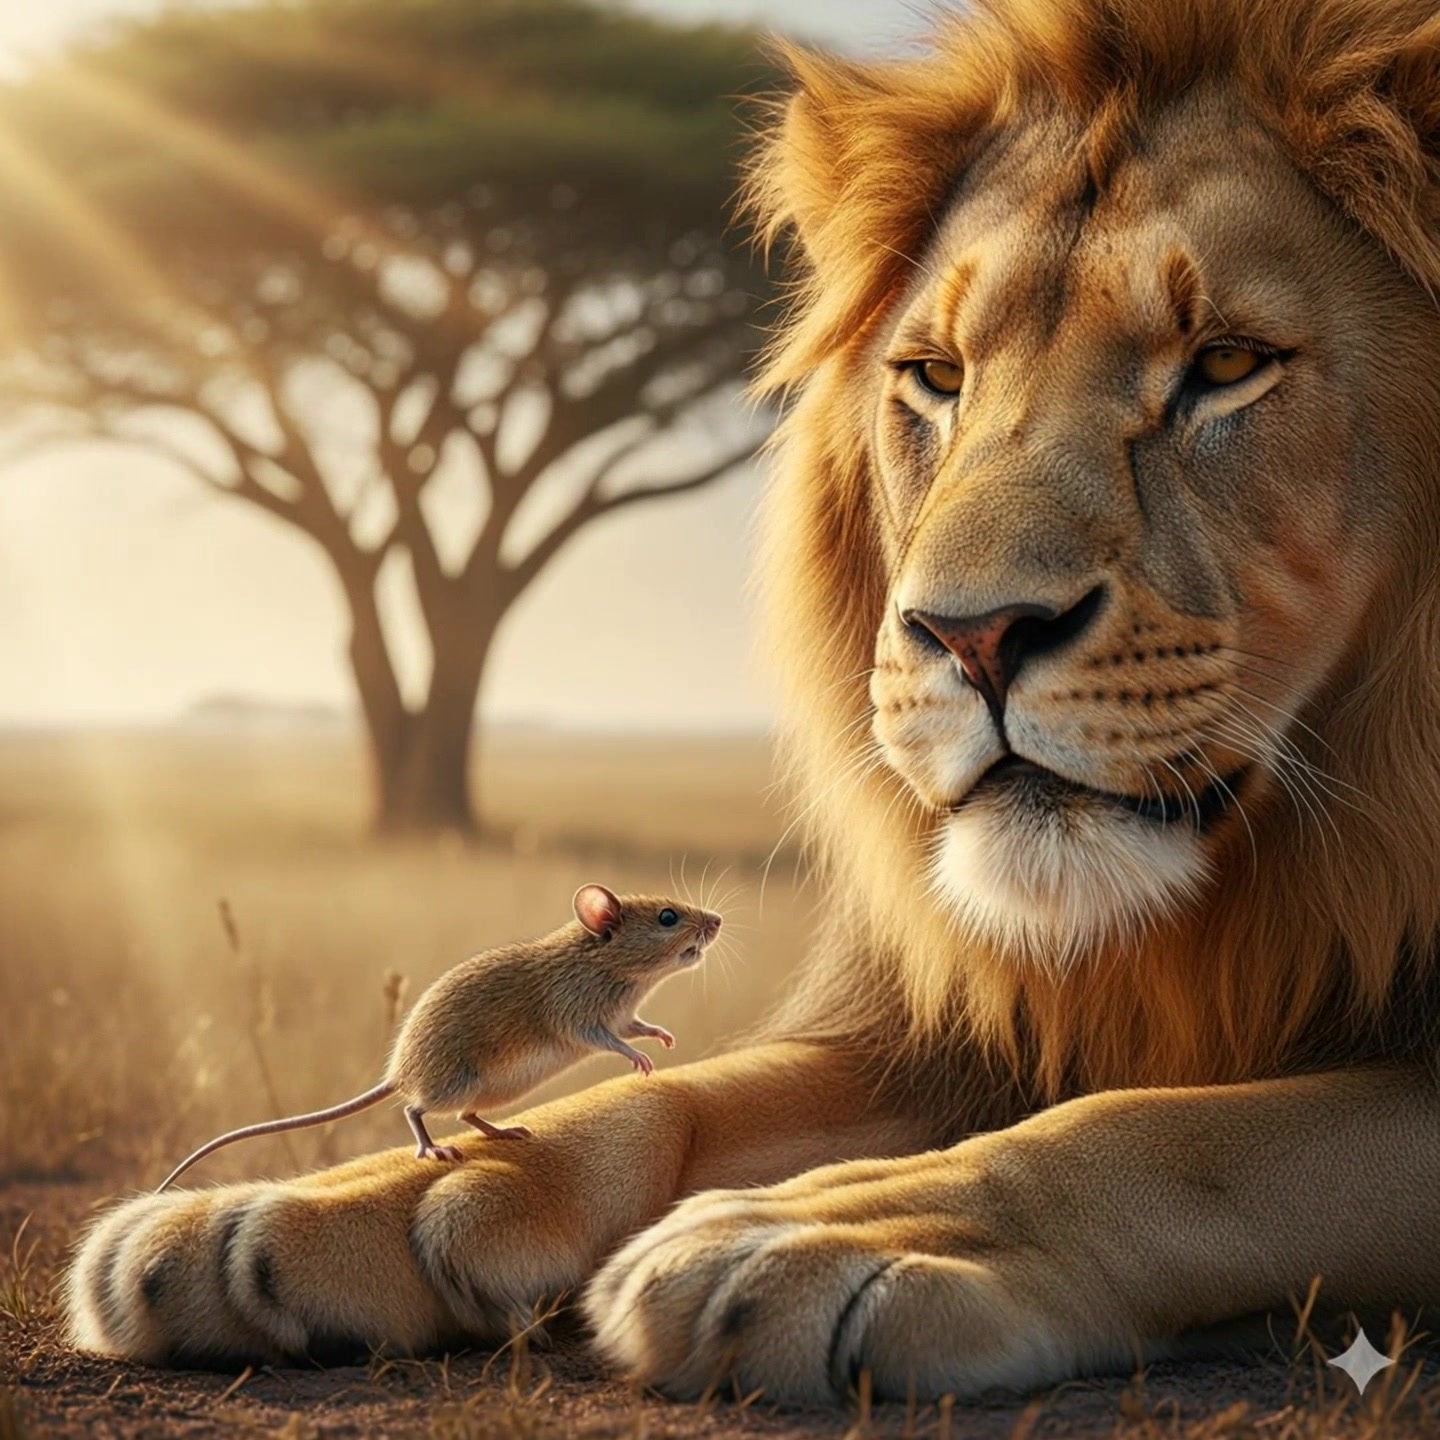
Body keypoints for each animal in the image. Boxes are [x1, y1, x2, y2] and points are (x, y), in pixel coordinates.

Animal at [67, 0, 1440, 1405]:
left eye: (1228, 364)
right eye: (936, 376)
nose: (971, 637)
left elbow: (1191, 1134)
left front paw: (839, 1226)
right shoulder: (940, 1029)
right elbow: (677, 1098)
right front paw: (318, 1207)